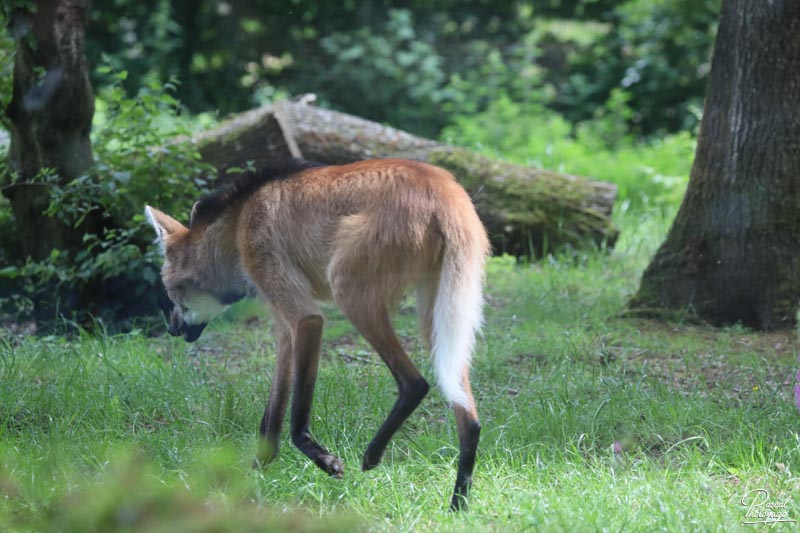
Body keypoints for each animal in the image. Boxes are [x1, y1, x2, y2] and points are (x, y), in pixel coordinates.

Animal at [147, 157, 490, 508]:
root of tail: (445, 191)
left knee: (415, 383)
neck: (236, 226)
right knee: (469, 417)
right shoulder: (285, 327)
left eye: (171, 293)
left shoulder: (303, 316)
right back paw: (458, 504)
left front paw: (326, 462)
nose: (172, 329)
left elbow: (297, 412)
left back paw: (372, 455)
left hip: (348, 288)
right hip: (437, 309)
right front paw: (253, 473)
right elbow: (272, 412)